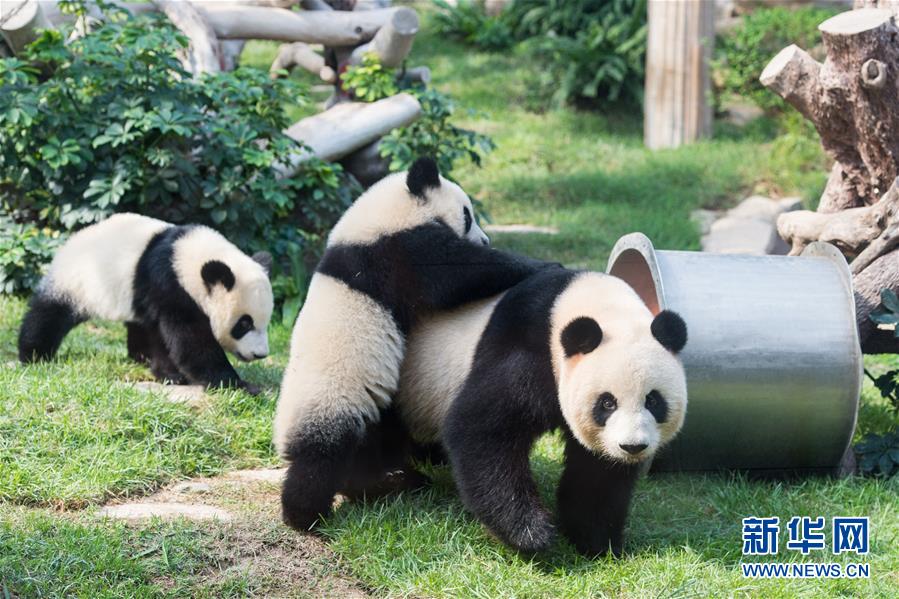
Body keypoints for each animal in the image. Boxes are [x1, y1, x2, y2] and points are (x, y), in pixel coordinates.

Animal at [16, 212, 270, 394]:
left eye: (265, 323)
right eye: (244, 324)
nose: (260, 355)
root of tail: (73, 238)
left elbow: (163, 336)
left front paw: (169, 374)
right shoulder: (169, 284)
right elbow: (191, 341)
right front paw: (238, 385)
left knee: (140, 325)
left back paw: (139, 356)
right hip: (77, 281)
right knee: (49, 314)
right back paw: (34, 354)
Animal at [270, 158, 544, 528]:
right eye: (467, 214)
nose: (486, 240)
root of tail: (282, 438)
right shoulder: (395, 249)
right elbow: (456, 271)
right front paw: (538, 265)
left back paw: (399, 479)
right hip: (332, 399)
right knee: (320, 458)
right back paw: (307, 514)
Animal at [394, 268, 688, 556]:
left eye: (653, 401)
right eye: (607, 403)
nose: (632, 446)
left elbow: (598, 472)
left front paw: (597, 541)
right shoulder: (527, 349)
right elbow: (482, 428)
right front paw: (530, 533)